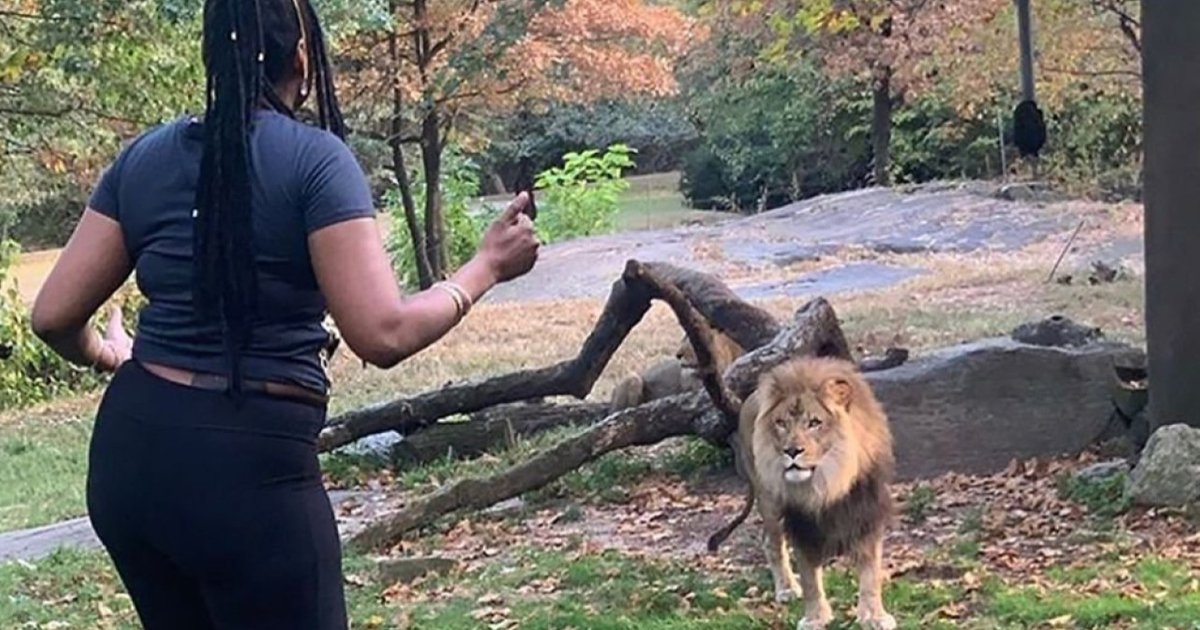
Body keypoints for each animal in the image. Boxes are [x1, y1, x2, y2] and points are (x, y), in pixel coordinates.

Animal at [705, 355, 897, 624]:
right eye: (781, 423)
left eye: (814, 423)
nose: (792, 451)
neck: (828, 481)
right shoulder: (800, 523)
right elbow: (809, 578)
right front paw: (815, 618)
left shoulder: (866, 512)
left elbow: (870, 572)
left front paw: (874, 616)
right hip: (769, 501)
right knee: (771, 542)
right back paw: (786, 588)